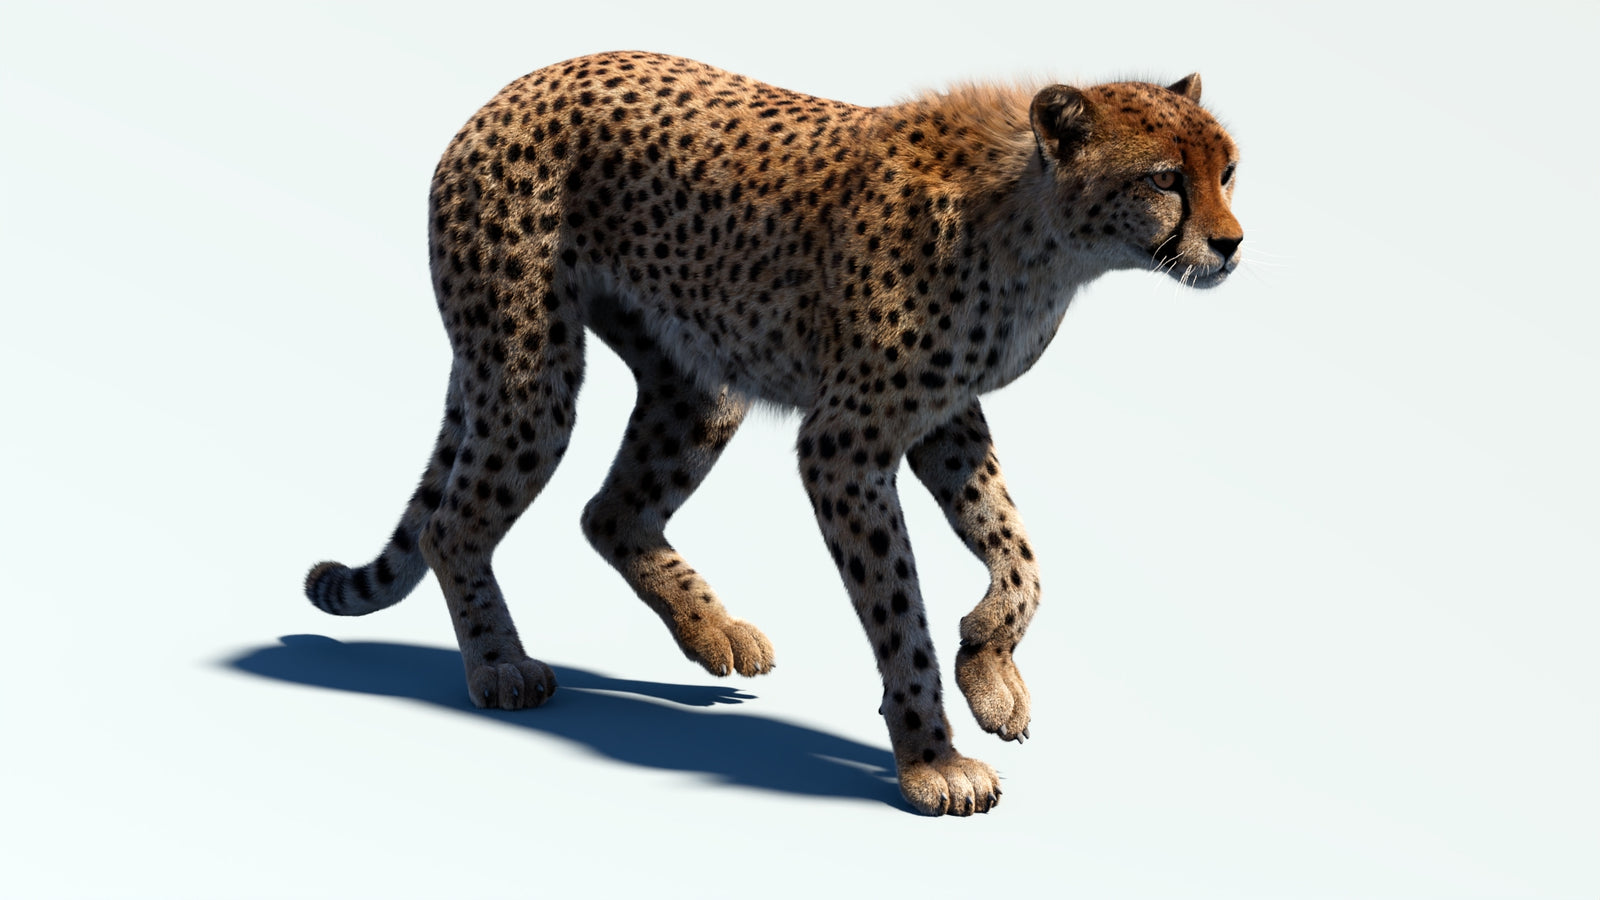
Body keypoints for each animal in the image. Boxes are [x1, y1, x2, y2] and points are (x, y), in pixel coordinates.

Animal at [304, 50, 1243, 816]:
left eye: (1230, 170)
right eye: (1165, 178)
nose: (1231, 243)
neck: (1042, 231)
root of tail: (511, 90)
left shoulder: (946, 418)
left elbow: (1017, 549)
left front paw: (988, 665)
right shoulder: (846, 445)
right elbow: (899, 610)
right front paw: (932, 759)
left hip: (699, 383)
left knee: (609, 512)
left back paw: (711, 630)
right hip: (529, 374)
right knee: (451, 524)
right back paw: (502, 665)